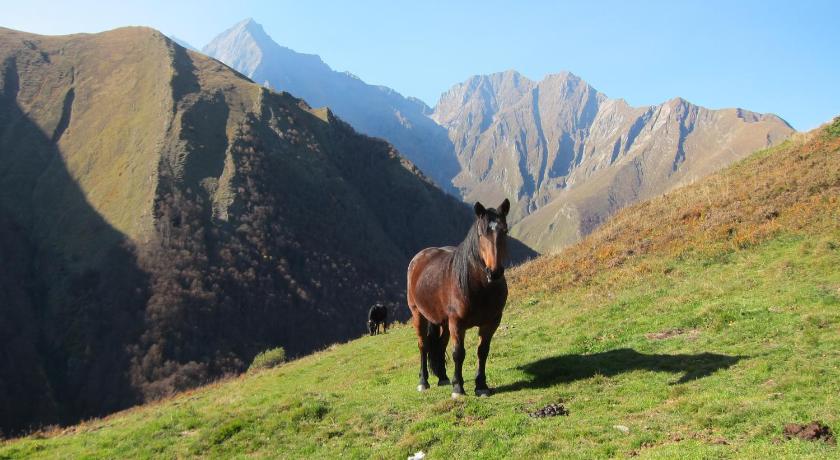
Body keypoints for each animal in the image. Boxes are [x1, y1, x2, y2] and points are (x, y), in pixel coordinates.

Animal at [406, 199, 512, 398]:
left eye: (505, 231)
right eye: (481, 233)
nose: (494, 272)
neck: (479, 288)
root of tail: (419, 258)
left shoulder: (491, 322)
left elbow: (482, 351)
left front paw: (481, 385)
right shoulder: (457, 322)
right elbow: (458, 353)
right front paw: (458, 388)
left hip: (443, 321)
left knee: (440, 345)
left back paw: (442, 377)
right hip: (418, 314)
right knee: (423, 345)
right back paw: (423, 381)